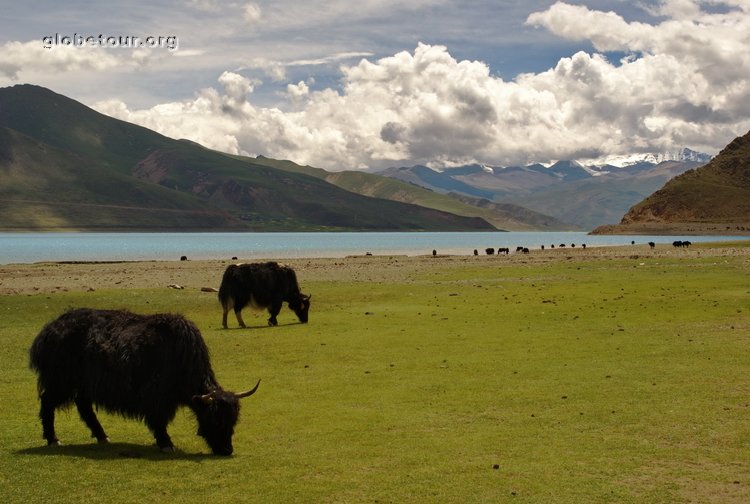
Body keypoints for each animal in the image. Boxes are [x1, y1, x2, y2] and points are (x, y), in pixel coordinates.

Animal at [30, 310, 262, 454]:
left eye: (233, 421)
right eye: (216, 419)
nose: (226, 451)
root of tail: (47, 331)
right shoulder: (157, 397)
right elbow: (158, 420)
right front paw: (166, 443)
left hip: (83, 384)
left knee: (83, 406)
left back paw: (103, 436)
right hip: (60, 381)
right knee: (48, 403)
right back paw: (53, 439)